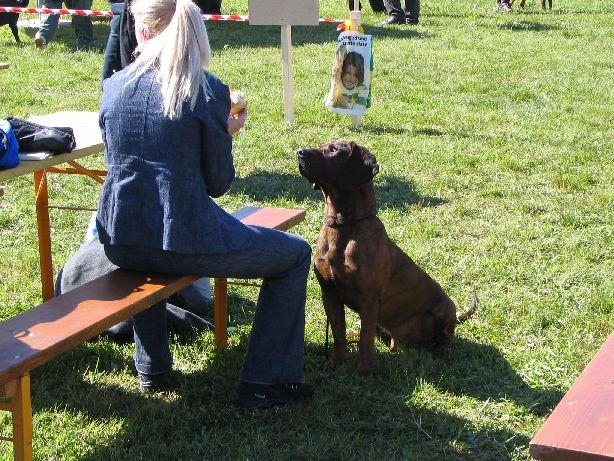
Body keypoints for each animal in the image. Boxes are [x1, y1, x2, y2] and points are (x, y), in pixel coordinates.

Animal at [298, 140, 476, 374]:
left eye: (333, 150)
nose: (299, 152)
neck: (344, 226)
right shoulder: (329, 294)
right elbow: (338, 333)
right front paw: (336, 362)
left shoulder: (369, 298)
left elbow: (365, 340)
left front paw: (364, 372)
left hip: (446, 307)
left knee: (447, 334)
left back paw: (442, 349)